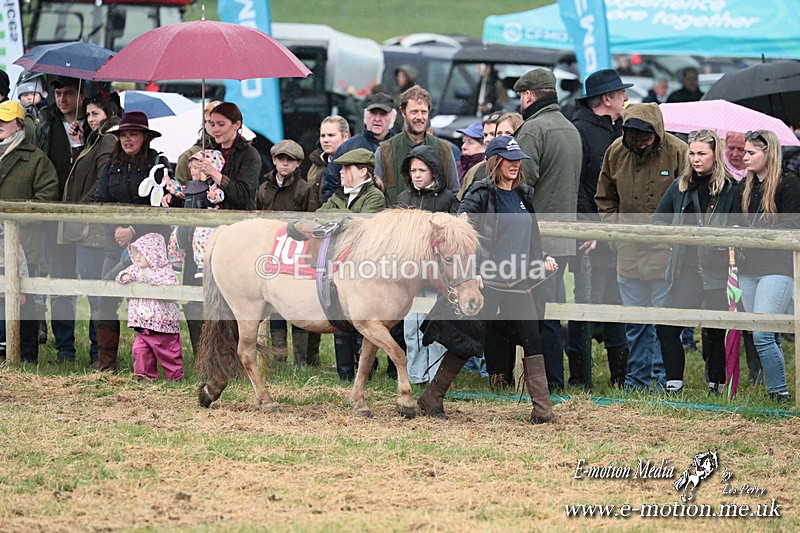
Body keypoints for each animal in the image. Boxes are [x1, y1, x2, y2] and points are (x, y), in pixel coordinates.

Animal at [195, 209, 483, 418]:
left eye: (473, 255)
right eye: (448, 258)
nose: (473, 301)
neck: (381, 264)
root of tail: (225, 232)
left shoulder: (373, 327)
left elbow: (365, 363)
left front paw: (359, 403)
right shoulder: (371, 325)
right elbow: (399, 355)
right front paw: (405, 402)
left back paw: (211, 389)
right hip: (247, 309)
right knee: (245, 352)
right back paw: (266, 401)